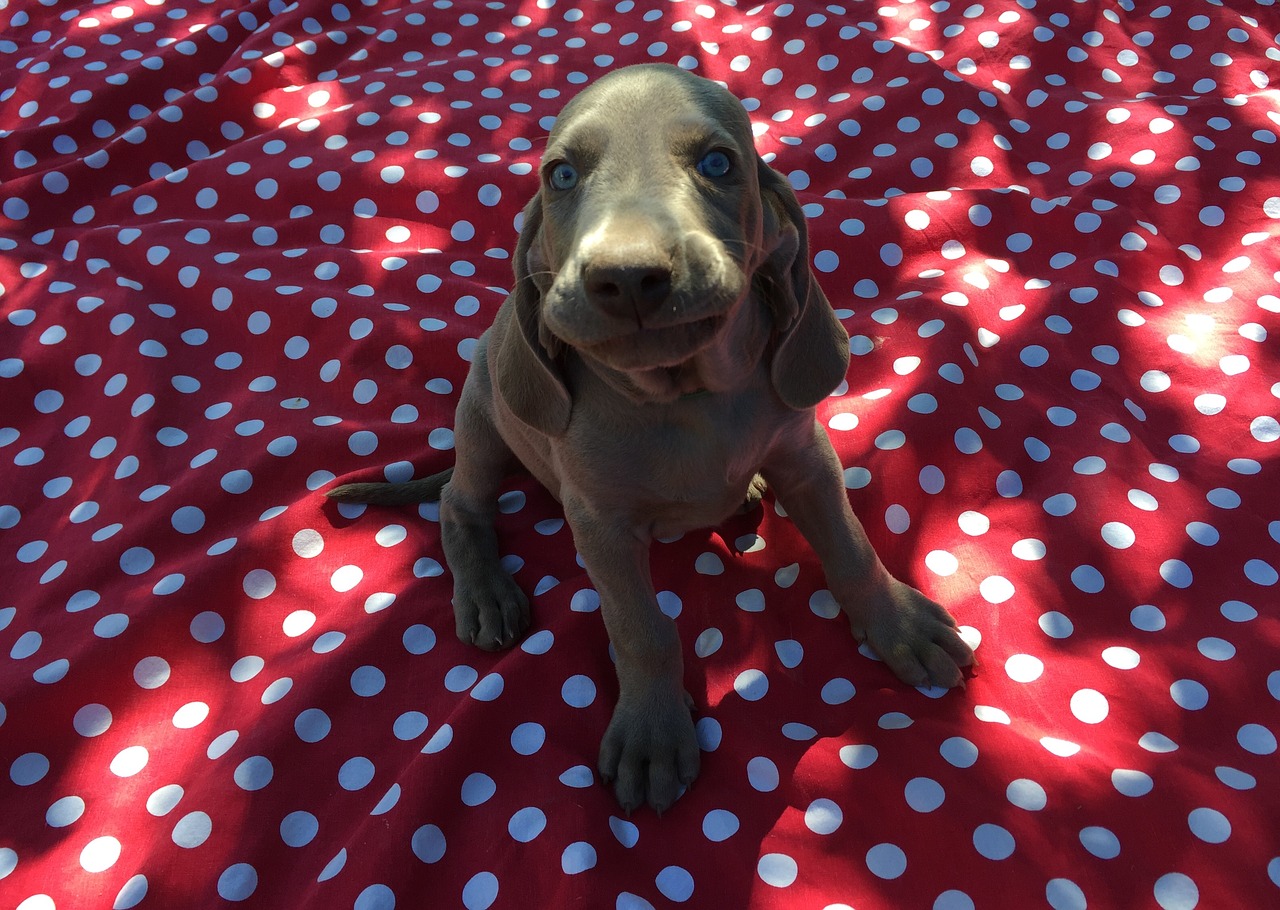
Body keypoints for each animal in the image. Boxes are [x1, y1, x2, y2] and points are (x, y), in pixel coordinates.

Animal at [327, 65, 967, 819]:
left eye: (718, 163)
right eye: (562, 175)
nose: (628, 276)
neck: (684, 399)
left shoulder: (806, 459)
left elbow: (852, 546)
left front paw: (898, 624)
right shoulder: (600, 526)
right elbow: (642, 630)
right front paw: (653, 733)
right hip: (484, 417)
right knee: (459, 502)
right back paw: (485, 592)